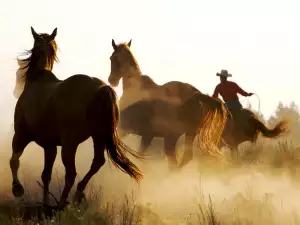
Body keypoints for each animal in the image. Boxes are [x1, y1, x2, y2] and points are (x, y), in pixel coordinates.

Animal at [10, 27, 143, 210]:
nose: (15, 90)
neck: (37, 81)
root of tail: (101, 88)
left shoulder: (21, 136)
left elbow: (14, 161)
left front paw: (18, 189)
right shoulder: (50, 146)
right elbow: (46, 175)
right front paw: (45, 203)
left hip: (70, 143)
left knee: (71, 173)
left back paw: (61, 204)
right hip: (97, 136)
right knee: (96, 162)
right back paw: (78, 193)